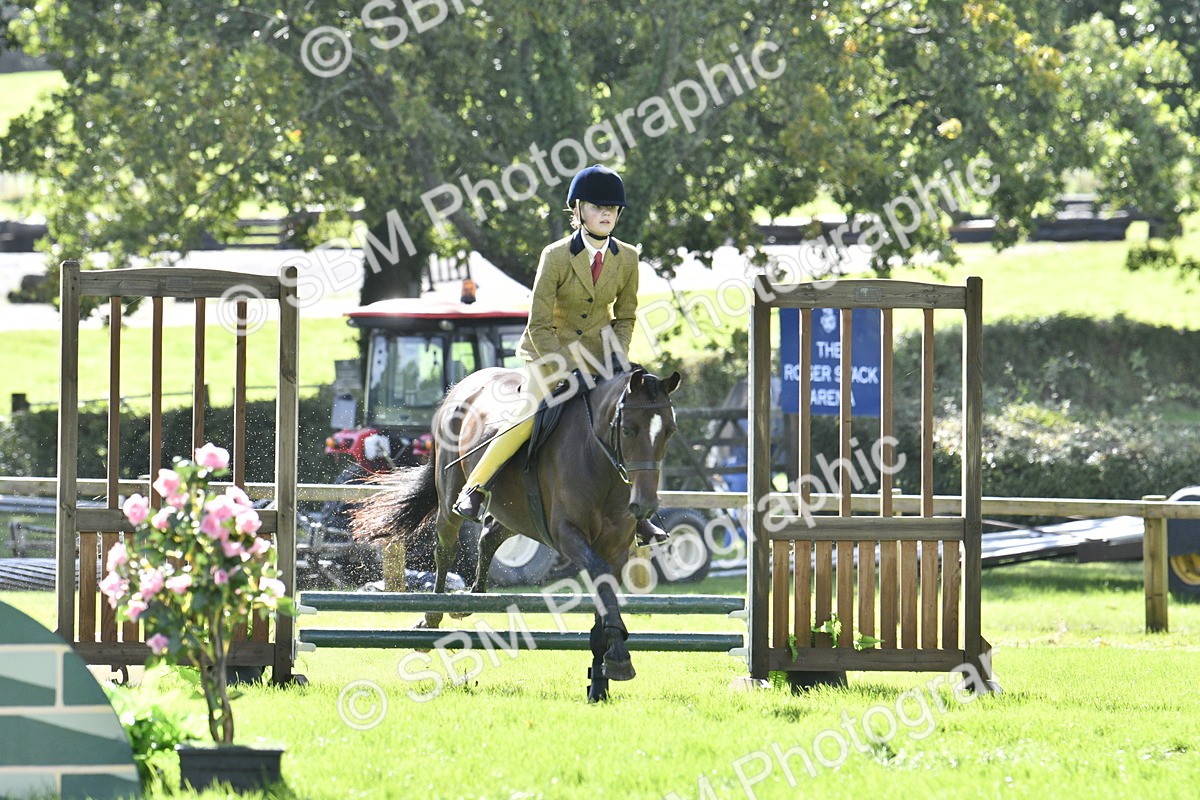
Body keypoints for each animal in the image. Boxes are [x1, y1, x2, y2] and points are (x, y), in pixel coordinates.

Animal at [352, 364, 681, 701]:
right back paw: (433, 618)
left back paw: (470, 600)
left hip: (515, 514)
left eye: (669, 431)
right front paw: (617, 656)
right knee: (446, 549)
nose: (645, 504)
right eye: (628, 429)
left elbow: (605, 593)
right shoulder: (568, 535)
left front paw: (603, 668)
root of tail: (461, 386)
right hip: (450, 496)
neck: (601, 462)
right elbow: (598, 575)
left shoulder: (616, 547)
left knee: (489, 537)